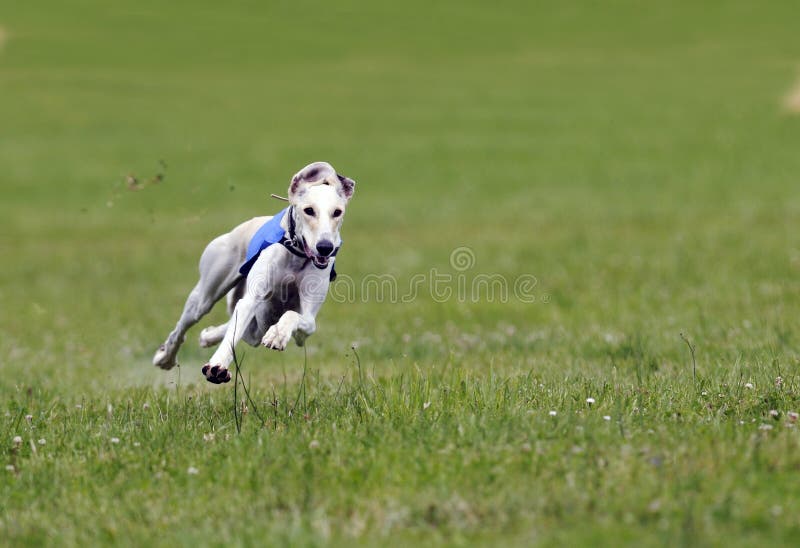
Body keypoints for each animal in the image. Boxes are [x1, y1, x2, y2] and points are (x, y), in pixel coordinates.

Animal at [155, 163, 354, 384]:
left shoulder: (306, 325)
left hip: (258, 326)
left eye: (337, 212)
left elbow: (295, 316)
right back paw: (166, 357)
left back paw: (209, 335)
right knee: (183, 328)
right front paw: (218, 365)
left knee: (246, 330)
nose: (325, 247)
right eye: (309, 210)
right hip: (204, 298)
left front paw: (278, 334)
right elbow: (236, 326)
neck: (297, 255)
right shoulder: (250, 300)